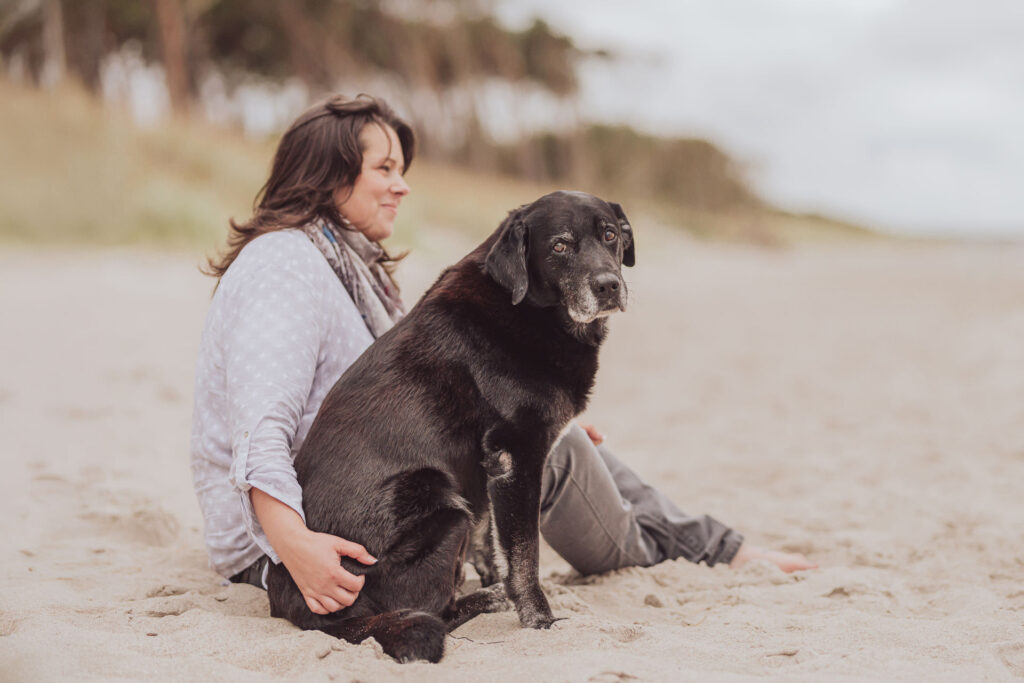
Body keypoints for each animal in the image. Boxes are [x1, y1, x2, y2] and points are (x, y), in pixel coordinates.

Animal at [264, 191, 630, 663]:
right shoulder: (518, 455)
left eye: (610, 235)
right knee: (432, 611)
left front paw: (500, 583)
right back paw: (483, 601)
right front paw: (537, 617)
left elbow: (495, 542)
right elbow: (525, 553)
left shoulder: (491, 471)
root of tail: (298, 602)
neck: (531, 310)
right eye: (560, 246)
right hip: (443, 507)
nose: (608, 285)